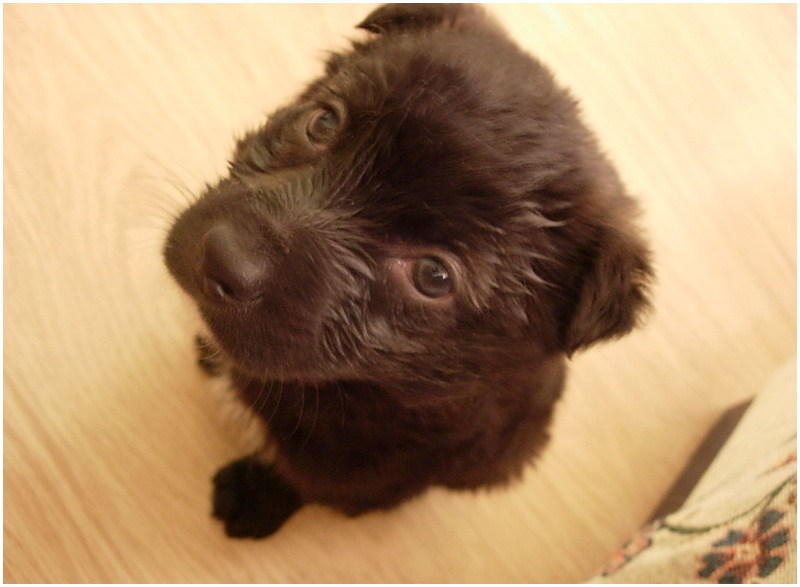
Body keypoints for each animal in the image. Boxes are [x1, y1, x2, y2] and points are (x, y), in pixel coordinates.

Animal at [164, 3, 653, 538]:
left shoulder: (361, 471)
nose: (222, 258)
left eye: (433, 277)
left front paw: (255, 498)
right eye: (323, 122)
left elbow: (302, 482)